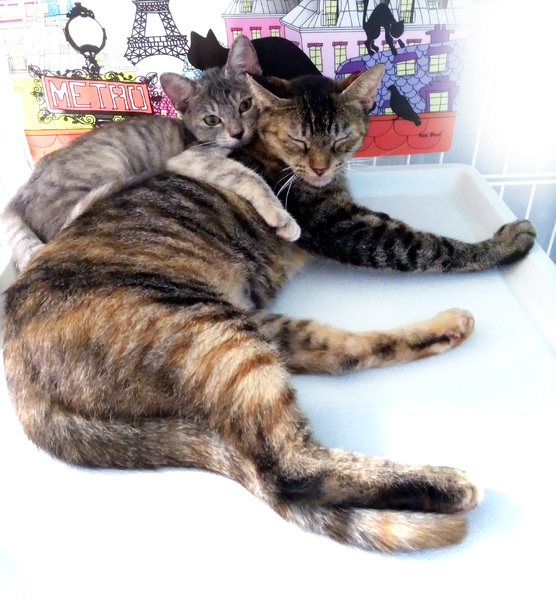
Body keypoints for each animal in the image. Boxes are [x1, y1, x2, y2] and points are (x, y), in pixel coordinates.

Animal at [1, 35, 299, 272]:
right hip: (110, 162)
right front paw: (281, 217)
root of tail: (17, 198)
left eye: (245, 105)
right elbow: (249, 177)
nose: (237, 133)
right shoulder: (190, 157)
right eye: (212, 120)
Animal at [3, 65, 536, 552]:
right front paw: (501, 244)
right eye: (299, 139)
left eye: (340, 136)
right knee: (290, 468)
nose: (320, 168)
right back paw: (449, 484)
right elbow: (431, 246)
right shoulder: (347, 228)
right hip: (217, 337)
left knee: (344, 354)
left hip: (248, 328)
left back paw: (450, 327)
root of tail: (24, 394)